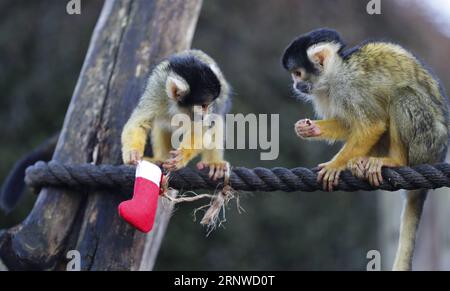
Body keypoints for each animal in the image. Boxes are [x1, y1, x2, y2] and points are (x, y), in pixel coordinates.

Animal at [121, 50, 230, 180]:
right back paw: (160, 159)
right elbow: (139, 123)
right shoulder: (156, 89)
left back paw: (214, 162)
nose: (207, 113)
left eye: (209, 105)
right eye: (203, 106)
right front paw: (132, 153)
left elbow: (202, 131)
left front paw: (182, 156)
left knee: (216, 121)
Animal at [284, 29, 448, 272]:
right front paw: (310, 128)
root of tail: (440, 154)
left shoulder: (350, 88)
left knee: (401, 95)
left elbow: (372, 125)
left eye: (297, 73)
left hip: (427, 143)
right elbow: (348, 124)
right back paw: (360, 162)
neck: (336, 73)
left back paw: (394, 160)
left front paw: (334, 165)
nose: (295, 85)